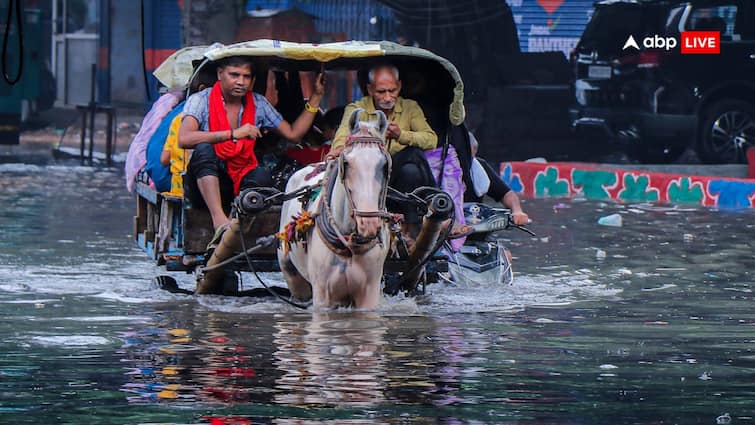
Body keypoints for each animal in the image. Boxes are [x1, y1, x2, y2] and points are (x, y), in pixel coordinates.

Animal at [280, 109, 396, 308]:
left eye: (384, 165)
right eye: (347, 163)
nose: (368, 223)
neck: (348, 245)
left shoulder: (370, 292)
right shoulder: (322, 293)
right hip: (291, 273)